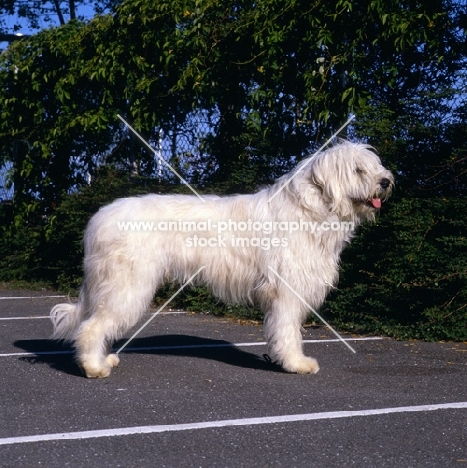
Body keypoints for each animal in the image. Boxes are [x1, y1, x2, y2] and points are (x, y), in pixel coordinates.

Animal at [52, 142, 394, 376]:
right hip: (126, 284)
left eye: (375, 166)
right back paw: (94, 367)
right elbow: (288, 330)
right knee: (92, 327)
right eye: (358, 170)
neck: (312, 209)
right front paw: (296, 363)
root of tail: (99, 219)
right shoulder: (286, 291)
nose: (386, 181)